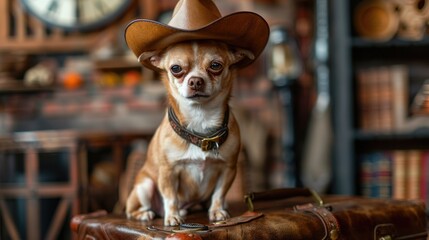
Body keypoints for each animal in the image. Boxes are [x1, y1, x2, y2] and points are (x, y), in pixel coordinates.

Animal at [124, 40, 254, 226]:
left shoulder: (227, 170)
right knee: (131, 210)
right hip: (145, 186)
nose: (195, 81)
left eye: (216, 65)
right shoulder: (168, 172)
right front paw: (172, 216)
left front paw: (216, 211)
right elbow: (170, 197)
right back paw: (145, 214)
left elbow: (219, 194)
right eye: (176, 68)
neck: (201, 120)